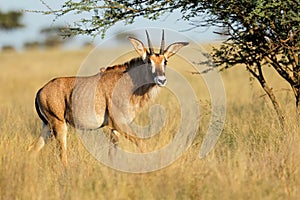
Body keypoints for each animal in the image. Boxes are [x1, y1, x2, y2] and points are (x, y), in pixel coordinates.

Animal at [28, 30, 188, 166]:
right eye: (149, 61)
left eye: (165, 61)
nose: (161, 80)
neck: (128, 82)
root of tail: (41, 91)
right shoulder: (118, 124)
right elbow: (142, 143)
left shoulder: (114, 129)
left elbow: (113, 154)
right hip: (59, 125)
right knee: (62, 155)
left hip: (48, 126)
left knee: (33, 149)